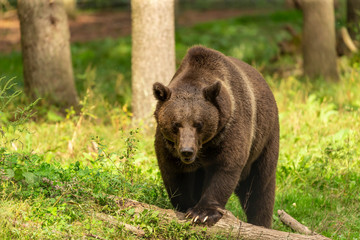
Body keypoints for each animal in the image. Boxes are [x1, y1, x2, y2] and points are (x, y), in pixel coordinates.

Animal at [152, 45, 278, 227]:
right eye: (176, 124)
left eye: (198, 124)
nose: (187, 151)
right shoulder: (168, 145)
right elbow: (174, 175)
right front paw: (186, 206)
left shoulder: (229, 128)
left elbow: (225, 166)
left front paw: (202, 213)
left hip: (265, 139)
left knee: (260, 187)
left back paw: (260, 223)